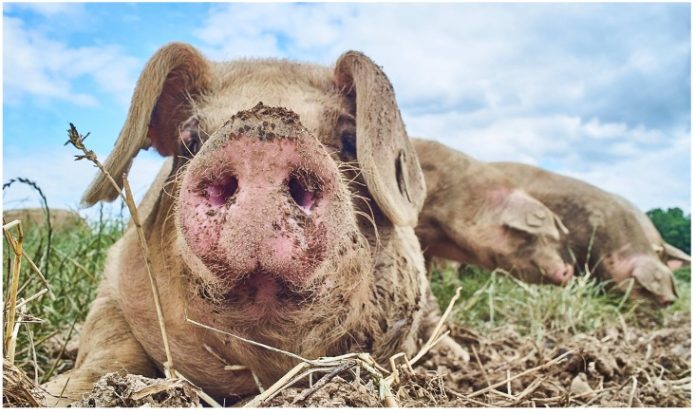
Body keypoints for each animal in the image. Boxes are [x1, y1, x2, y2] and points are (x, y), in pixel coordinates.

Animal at [42, 43, 465, 405]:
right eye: (189, 139)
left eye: (348, 138)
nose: (261, 141)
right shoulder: (112, 279)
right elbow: (108, 340)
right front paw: (57, 396)